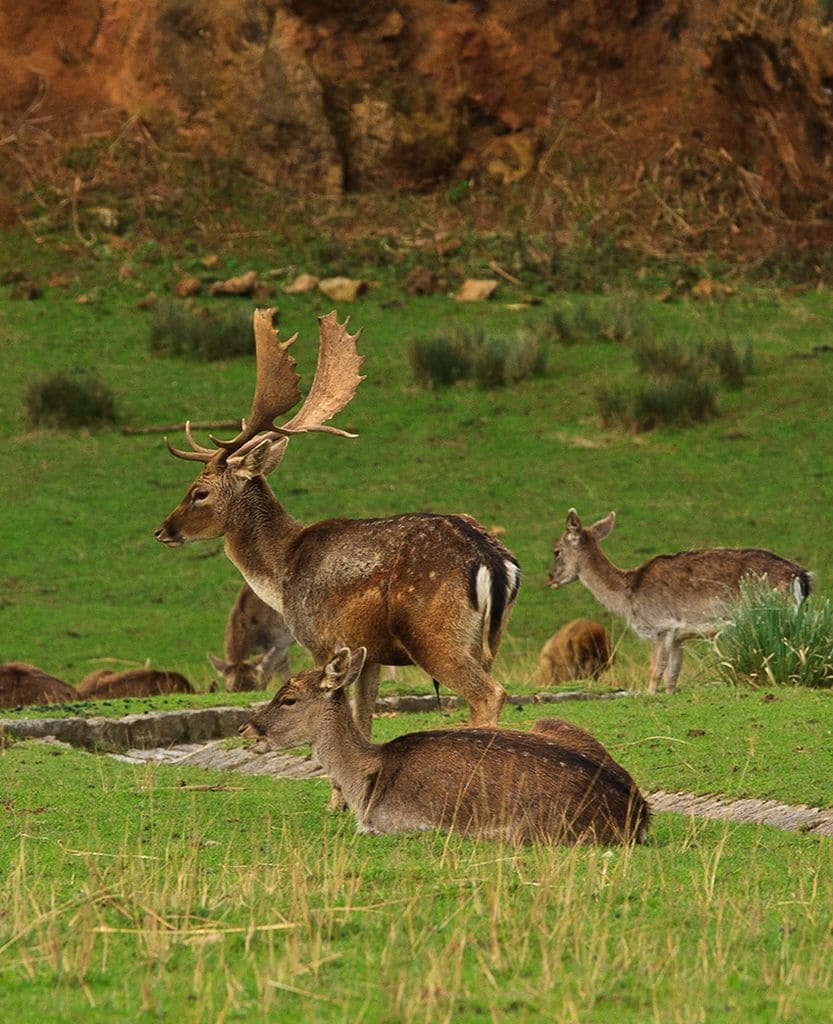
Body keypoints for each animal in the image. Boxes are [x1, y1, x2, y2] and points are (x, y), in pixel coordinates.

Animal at [154, 305, 520, 745]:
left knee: (489, 692)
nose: (162, 530)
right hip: (488, 639)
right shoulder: (370, 652)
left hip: (432, 632)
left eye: (199, 492)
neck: (281, 571)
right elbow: (363, 718)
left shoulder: (321, 639)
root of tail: (495, 563)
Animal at [237, 647, 647, 847]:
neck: (364, 783)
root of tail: (639, 813)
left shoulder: (393, 822)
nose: (246, 729)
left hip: (527, 830)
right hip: (553, 723)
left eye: (288, 699)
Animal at [545, 505, 811, 692]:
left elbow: (655, 671)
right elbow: (672, 676)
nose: (549, 578)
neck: (629, 596)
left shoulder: (661, 626)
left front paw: (649, 695)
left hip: (773, 613)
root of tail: (802, 576)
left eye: (556, 550)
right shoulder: (679, 636)